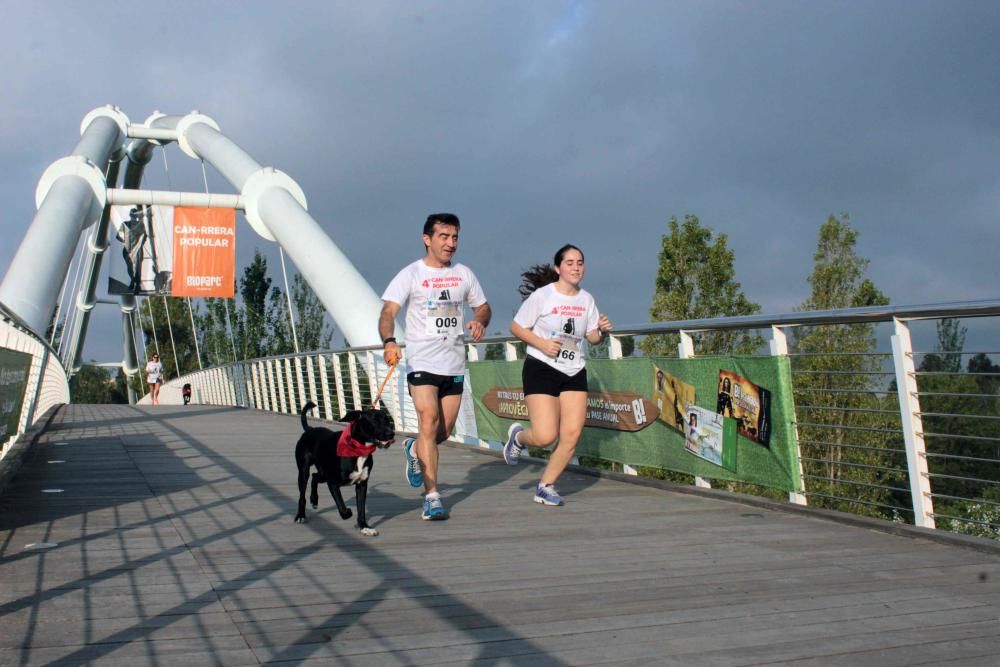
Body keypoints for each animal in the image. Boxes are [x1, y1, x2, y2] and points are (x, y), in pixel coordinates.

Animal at [292, 400, 394, 536]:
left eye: (387, 420)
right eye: (374, 421)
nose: (391, 433)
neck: (358, 450)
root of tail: (310, 429)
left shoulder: (361, 484)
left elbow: (361, 509)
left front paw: (364, 527)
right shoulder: (333, 483)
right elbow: (342, 508)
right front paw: (348, 513)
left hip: (323, 472)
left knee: (315, 477)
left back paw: (314, 500)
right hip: (304, 472)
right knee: (302, 494)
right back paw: (301, 515)